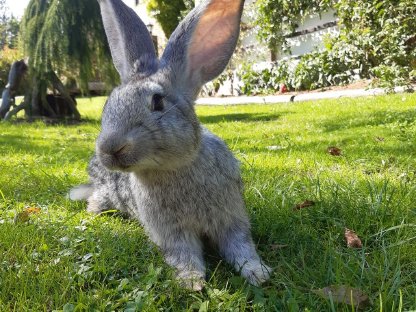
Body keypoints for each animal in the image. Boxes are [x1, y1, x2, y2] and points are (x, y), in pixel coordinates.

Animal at [70, 0, 272, 290]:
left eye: (158, 102)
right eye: (109, 104)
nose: (110, 148)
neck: (172, 167)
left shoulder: (231, 219)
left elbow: (242, 246)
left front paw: (258, 272)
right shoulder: (172, 232)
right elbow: (183, 254)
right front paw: (192, 281)